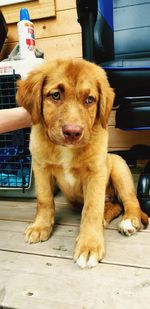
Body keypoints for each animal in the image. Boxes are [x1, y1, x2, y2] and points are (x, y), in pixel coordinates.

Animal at [16, 57, 148, 268]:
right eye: (55, 95)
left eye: (89, 100)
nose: (72, 132)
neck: (65, 149)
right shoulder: (41, 167)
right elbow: (44, 200)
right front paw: (40, 227)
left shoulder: (96, 172)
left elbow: (91, 209)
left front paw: (89, 245)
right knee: (114, 205)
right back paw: (106, 216)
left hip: (118, 166)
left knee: (130, 201)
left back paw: (129, 221)